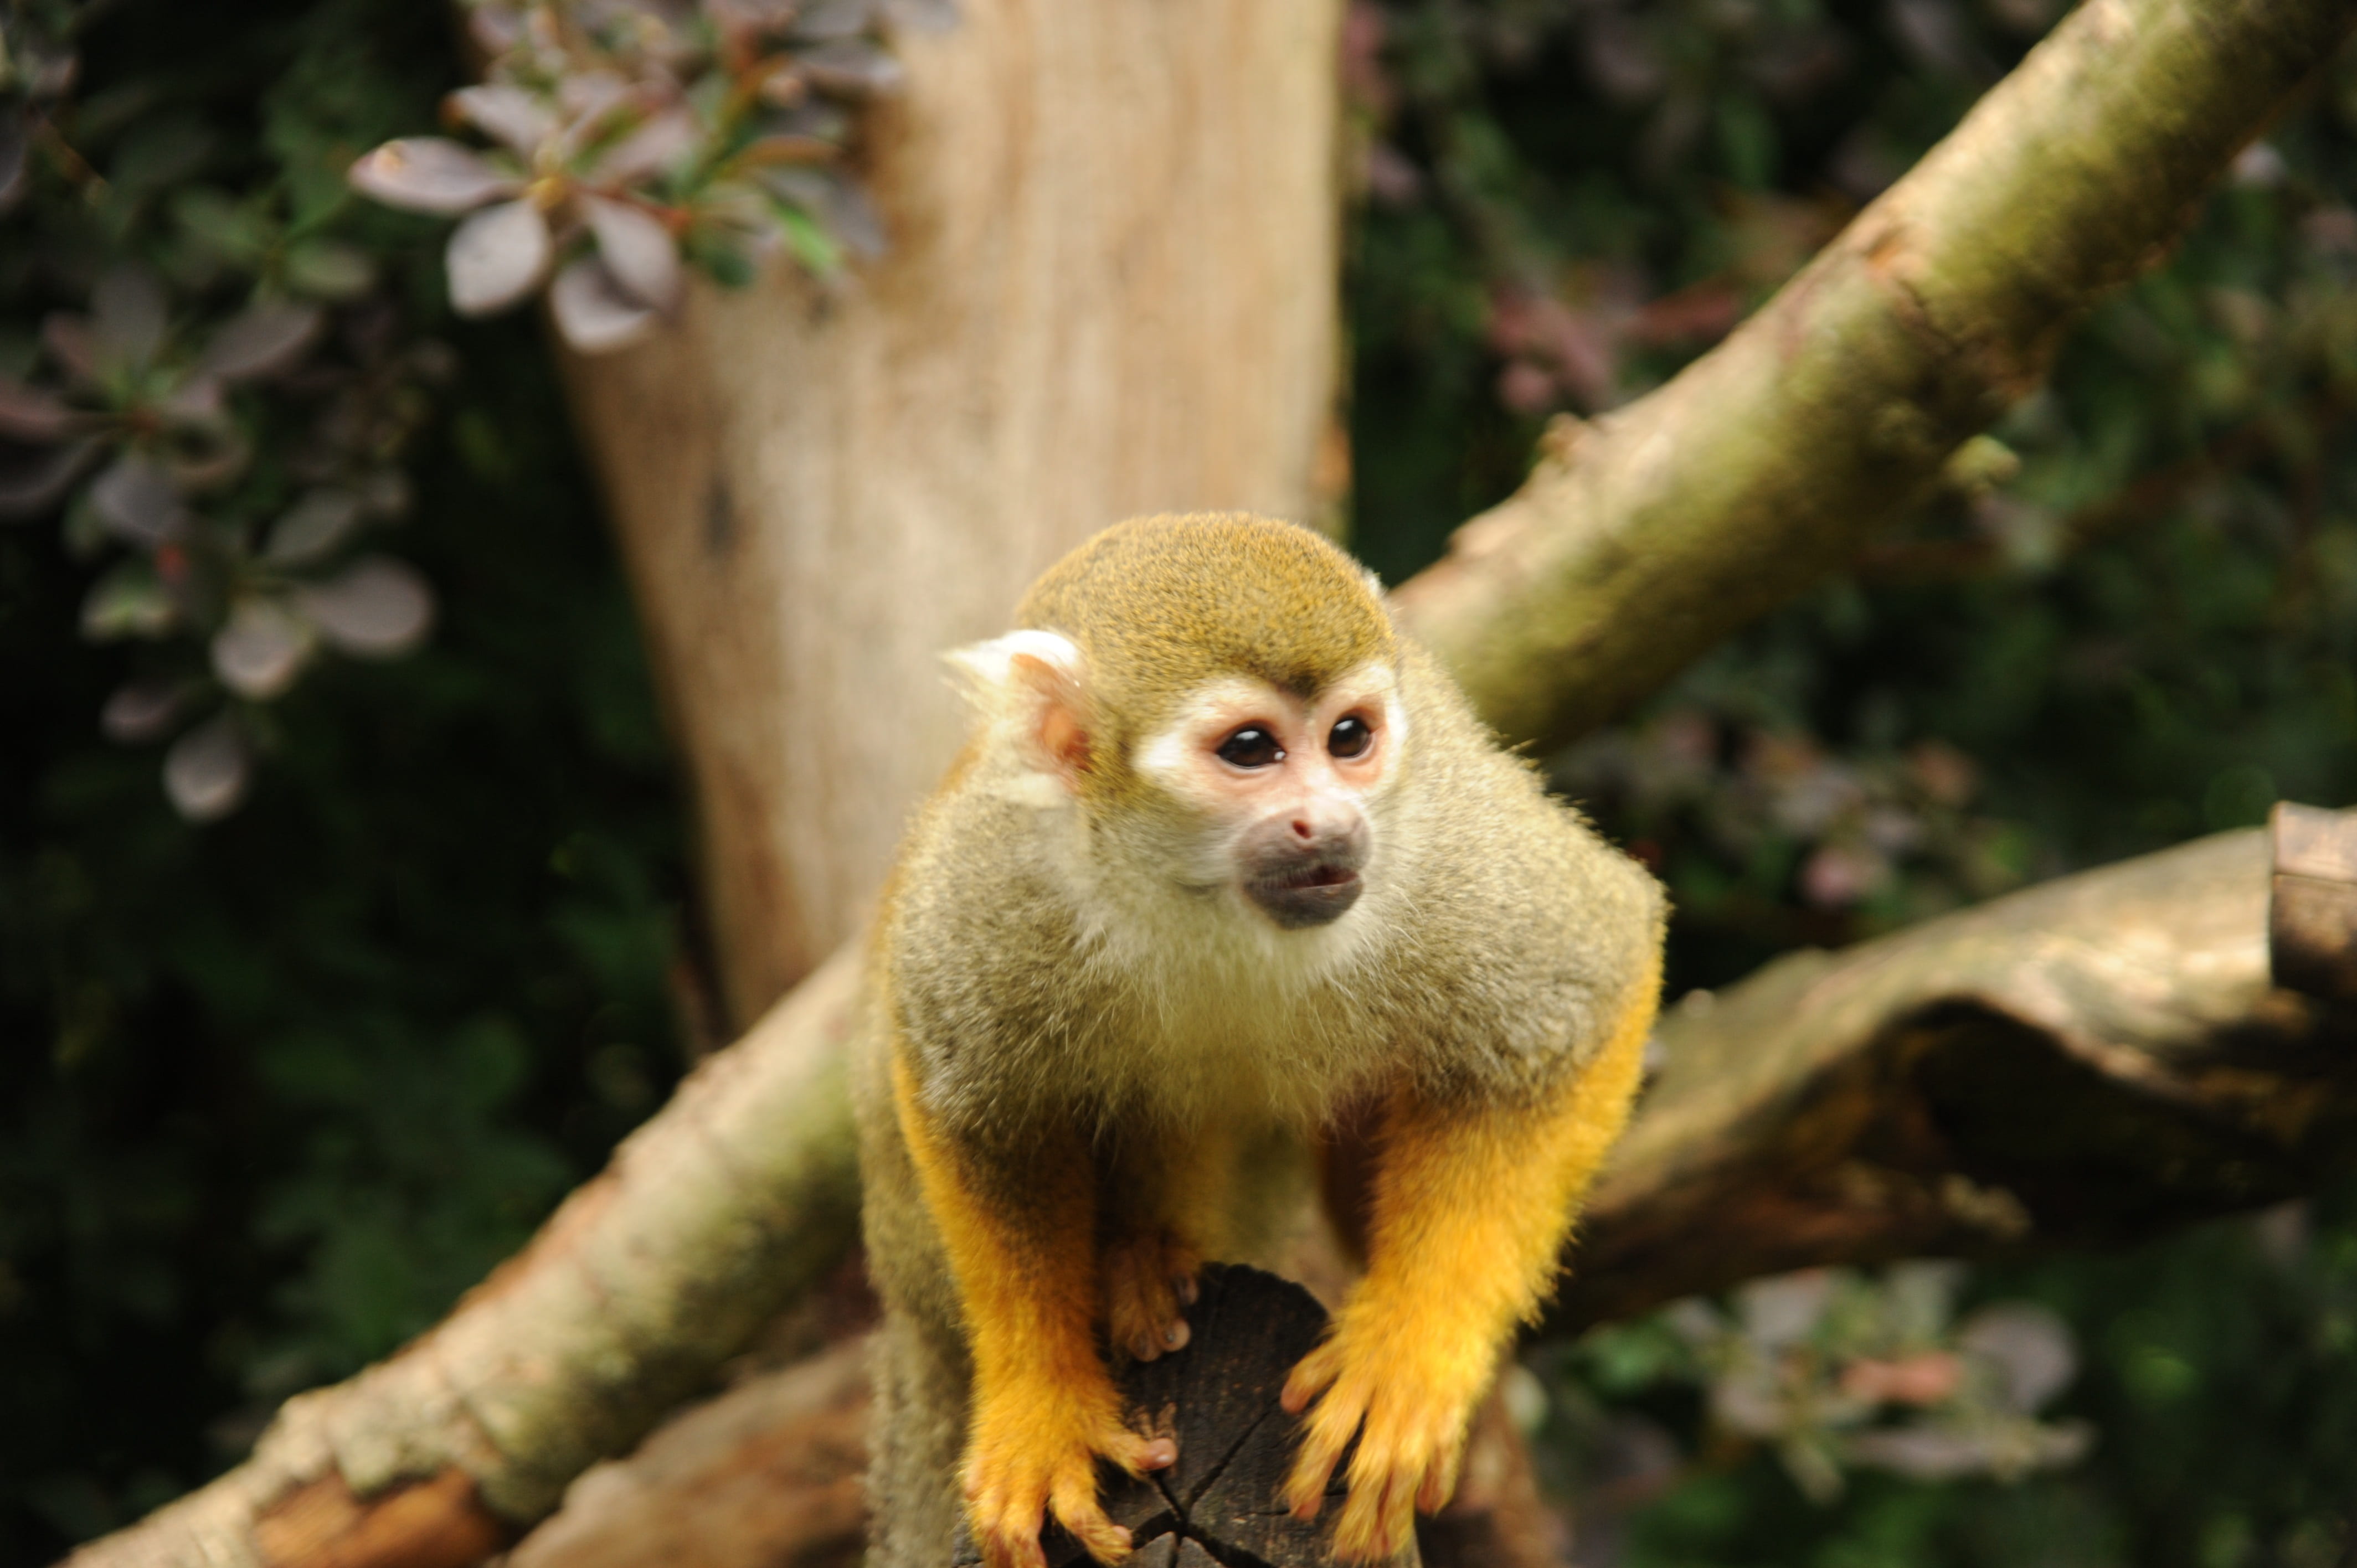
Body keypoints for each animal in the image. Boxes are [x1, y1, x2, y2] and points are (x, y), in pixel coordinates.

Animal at [851, 513, 1665, 1568]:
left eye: (1350, 738)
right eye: (1250, 749)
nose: (1332, 820)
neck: (1198, 900)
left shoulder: (1438, 841)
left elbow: (1590, 984)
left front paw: (1409, 1357)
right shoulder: (997, 870)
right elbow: (977, 1103)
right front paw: (1042, 1406)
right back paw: (1139, 1262)